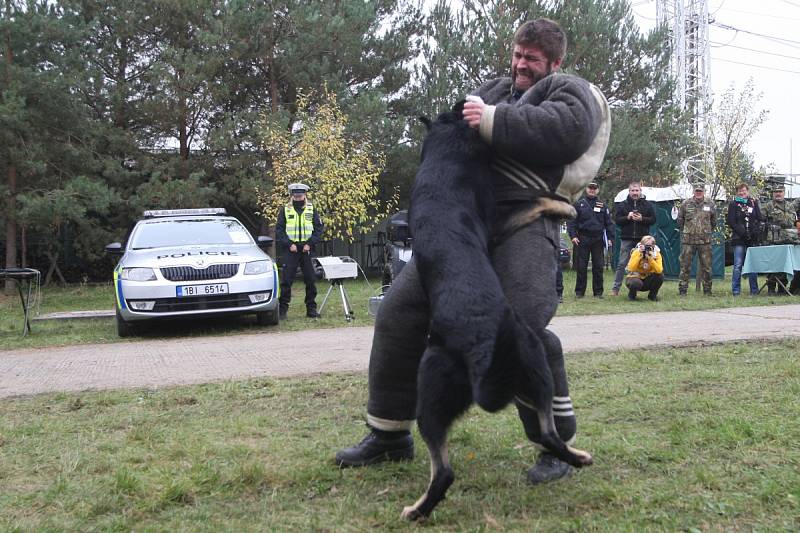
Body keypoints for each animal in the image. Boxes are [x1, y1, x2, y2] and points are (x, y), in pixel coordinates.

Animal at [404, 103, 592, 520]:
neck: (443, 158)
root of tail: (482, 349)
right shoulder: (495, 224)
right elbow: (535, 202)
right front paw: (563, 206)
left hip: (530, 373)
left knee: (546, 434)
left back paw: (578, 456)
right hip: (439, 390)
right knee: (447, 470)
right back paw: (417, 509)